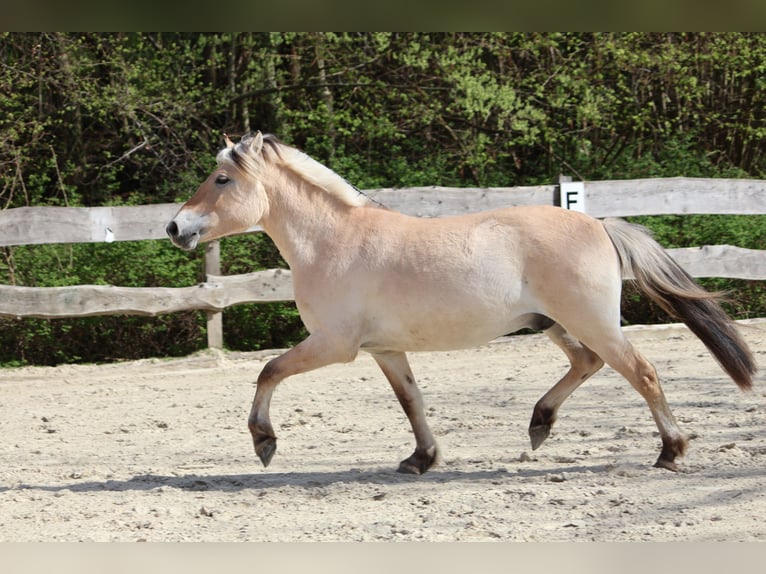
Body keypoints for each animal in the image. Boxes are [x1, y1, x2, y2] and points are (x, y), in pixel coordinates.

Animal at [166, 131, 757, 475]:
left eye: (222, 179)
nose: (175, 227)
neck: (333, 241)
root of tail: (599, 224)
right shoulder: (384, 350)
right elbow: (411, 401)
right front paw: (421, 459)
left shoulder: (335, 345)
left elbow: (268, 370)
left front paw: (263, 442)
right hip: (551, 323)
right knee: (586, 363)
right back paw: (539, 426)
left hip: (592, 322)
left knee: (641, 372)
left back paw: (671, 451)